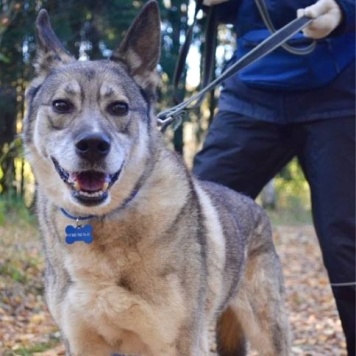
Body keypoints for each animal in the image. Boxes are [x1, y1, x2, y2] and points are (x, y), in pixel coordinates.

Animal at [22, 1, 290, 354]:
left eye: (119, 107)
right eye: (61, 105)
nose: (93, 145)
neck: (101, 225)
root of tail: (253, 204)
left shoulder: (180, 344)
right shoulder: (82, 343)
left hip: (267, 330)